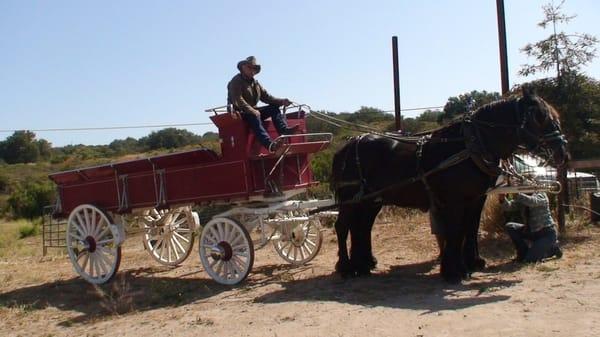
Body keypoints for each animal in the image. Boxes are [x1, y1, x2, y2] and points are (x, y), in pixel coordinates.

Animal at [330, 88, 568, 282]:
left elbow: (470, 228)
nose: (562, 152)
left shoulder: (476, 199)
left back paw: (364, 264)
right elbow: (456, 230)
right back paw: (346, 267)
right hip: (350, 198)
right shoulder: (455, 201)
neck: (468, 147)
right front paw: (455, 271)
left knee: (362, 228)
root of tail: (348, 145)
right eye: (540, 117)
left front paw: (474, 262)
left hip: (371, 201)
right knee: (343, 227)